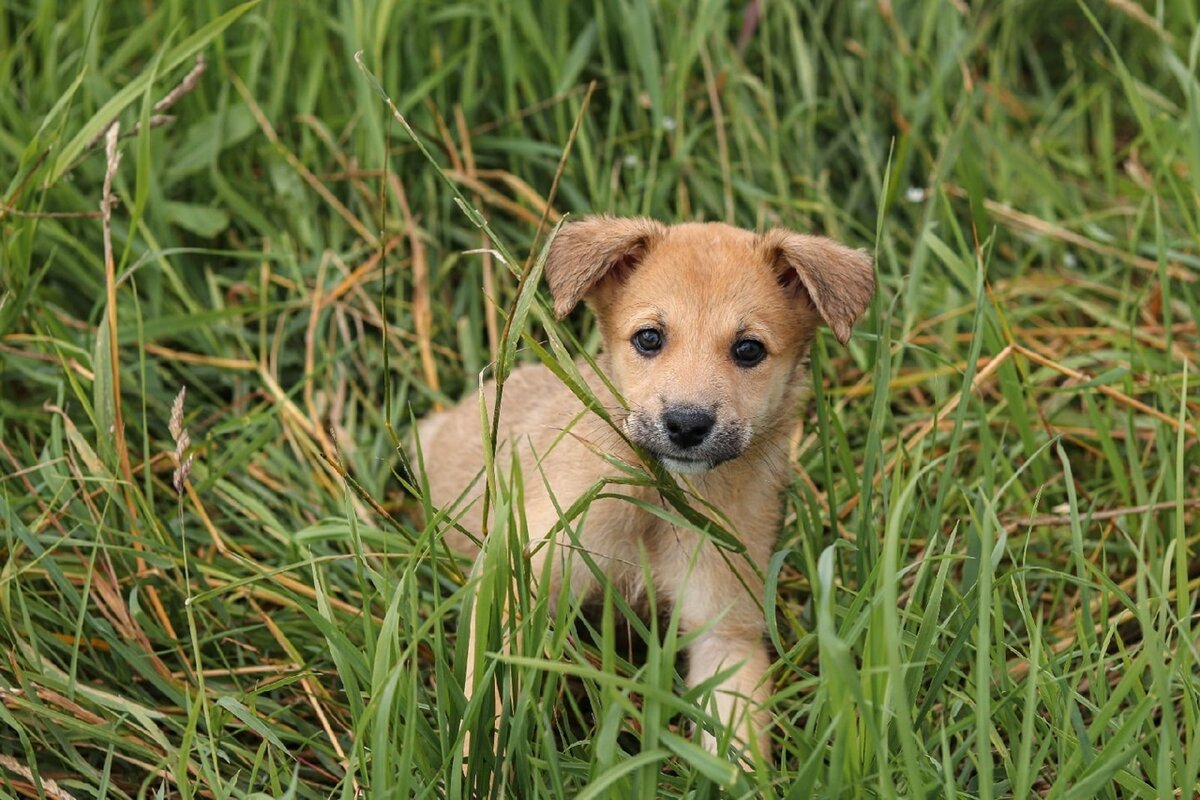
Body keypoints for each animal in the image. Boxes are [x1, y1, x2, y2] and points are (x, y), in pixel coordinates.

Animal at [417, 217, 878, 762]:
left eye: (749, 349)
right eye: (650, 338)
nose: (686, 424)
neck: (657, 499)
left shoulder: (725, 631)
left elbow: (737, 749)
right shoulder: (517, 579)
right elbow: (486, 702)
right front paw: (477, 768)